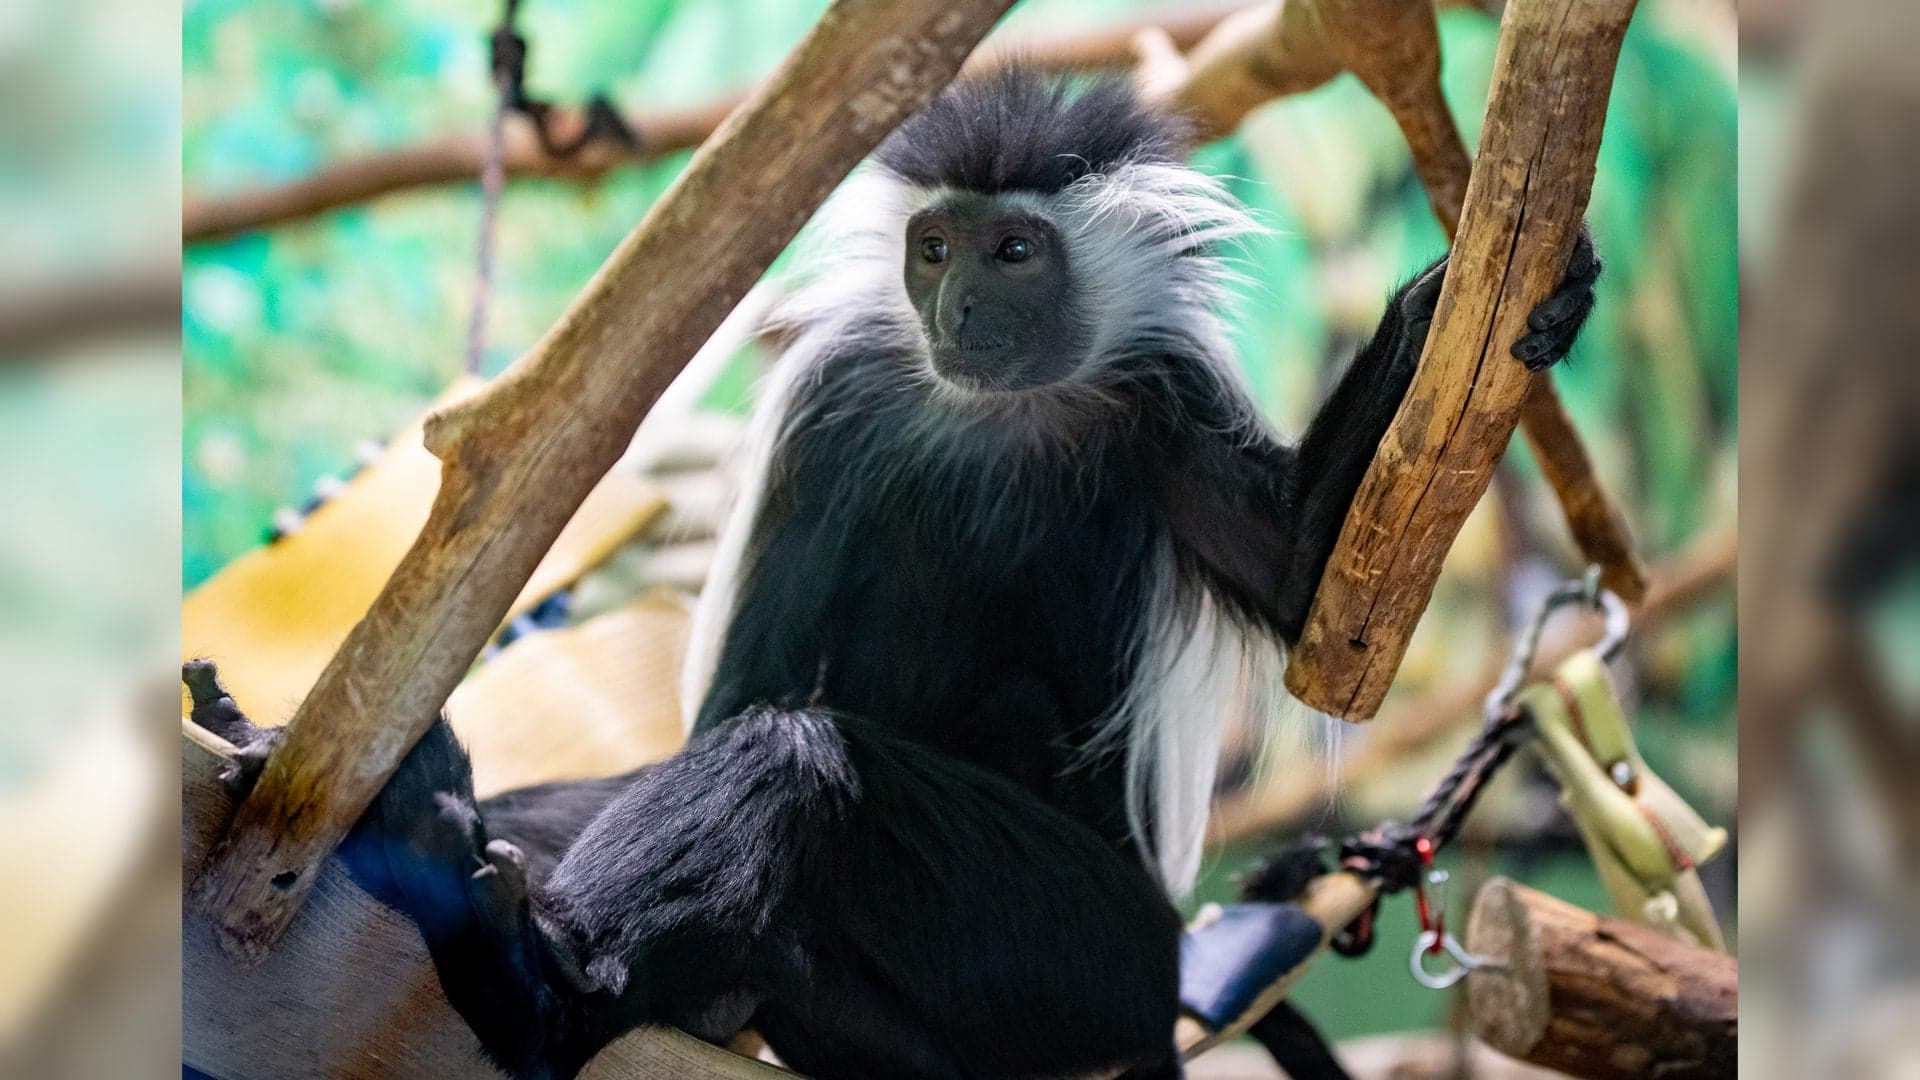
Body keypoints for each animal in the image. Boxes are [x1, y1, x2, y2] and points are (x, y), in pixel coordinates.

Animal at [309, 67, 1599, 1080]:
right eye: (933, 251)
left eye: (1015, 250)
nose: (960, 305)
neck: (1001, 413)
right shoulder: (839, 402)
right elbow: (746, 679)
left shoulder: (1160, 402)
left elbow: (1302, 586)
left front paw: (1482, 305)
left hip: (1085, 955)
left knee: (798, 766)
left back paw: (534, 984)